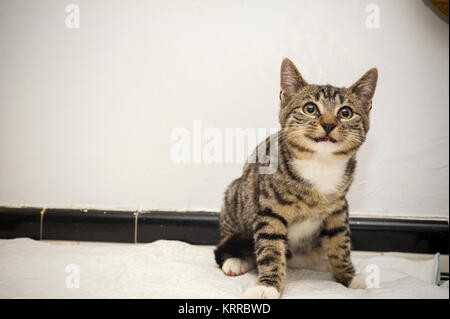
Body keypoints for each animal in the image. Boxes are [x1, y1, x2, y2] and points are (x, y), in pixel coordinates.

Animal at [214, 58, 376, 300]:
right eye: (310, 109)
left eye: (346, 112)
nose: (329, 124)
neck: (319, 164)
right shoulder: (269, 210)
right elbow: (270, 249)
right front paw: (268, 286)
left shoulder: (338, 208)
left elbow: (340, 242)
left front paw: (348, 275)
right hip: (235, 196)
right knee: (231, 243)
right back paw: (236, 260)